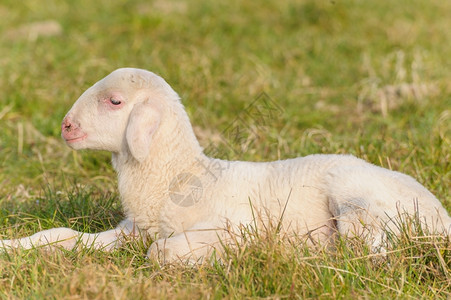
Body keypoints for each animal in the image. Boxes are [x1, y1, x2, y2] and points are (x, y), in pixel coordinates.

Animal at [0, 67, 451, 262]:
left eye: (115, 101)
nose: (66, 126)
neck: (178, 178)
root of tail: (441, 216)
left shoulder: (234, 226)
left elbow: (161, 253)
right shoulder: (134, 230)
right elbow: (61, 236)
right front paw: (11, 247)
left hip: (358, 199)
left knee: (372, 247)